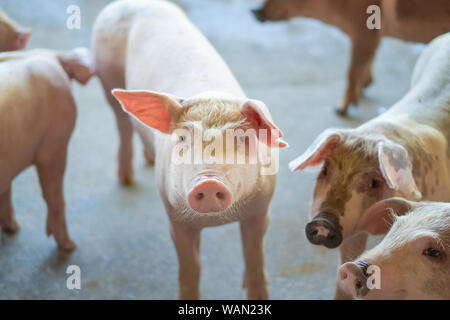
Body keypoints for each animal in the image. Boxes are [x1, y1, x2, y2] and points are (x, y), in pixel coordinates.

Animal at [251, 0, 450, 115]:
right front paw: (364, 88)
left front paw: (339, 109)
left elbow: (352, 71)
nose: (254, 10)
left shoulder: (364, 30)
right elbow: (367, 61)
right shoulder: (373, 37)